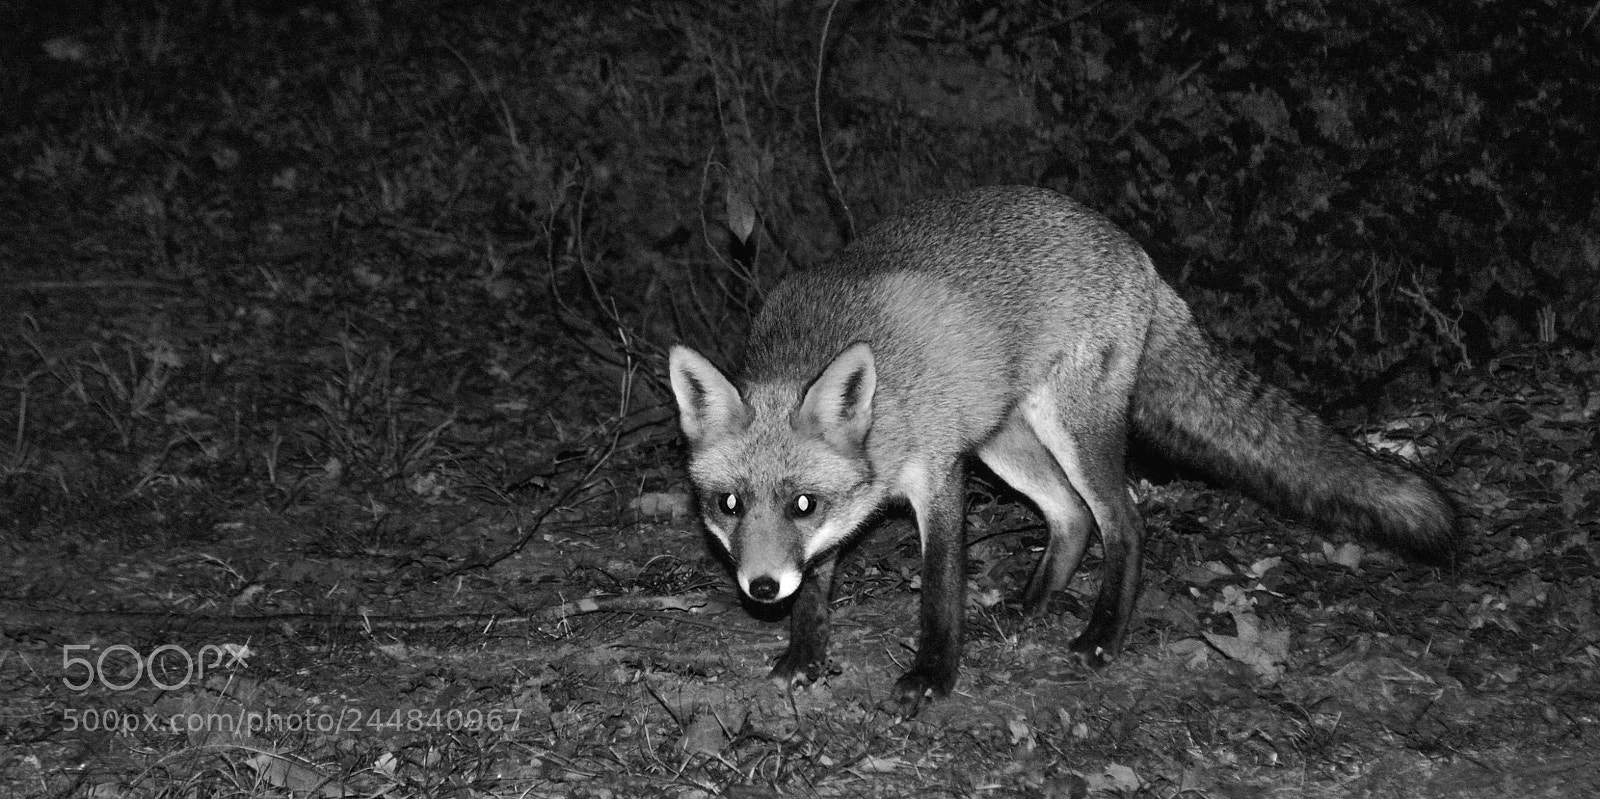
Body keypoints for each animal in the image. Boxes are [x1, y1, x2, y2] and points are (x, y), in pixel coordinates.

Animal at [668, 185, 1456, 713]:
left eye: (801, 503)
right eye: (728, 504)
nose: (759, 587)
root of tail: (1130, 245)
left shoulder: (939, 476)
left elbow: (940, 591)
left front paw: (933, 676)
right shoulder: (870, 499)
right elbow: (817, 590)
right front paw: (803, 655)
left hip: (1070, 431)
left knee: (1125, 520)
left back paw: (1102, 634)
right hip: (1006, 442)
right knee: (1071, 518)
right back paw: (1028, 605)